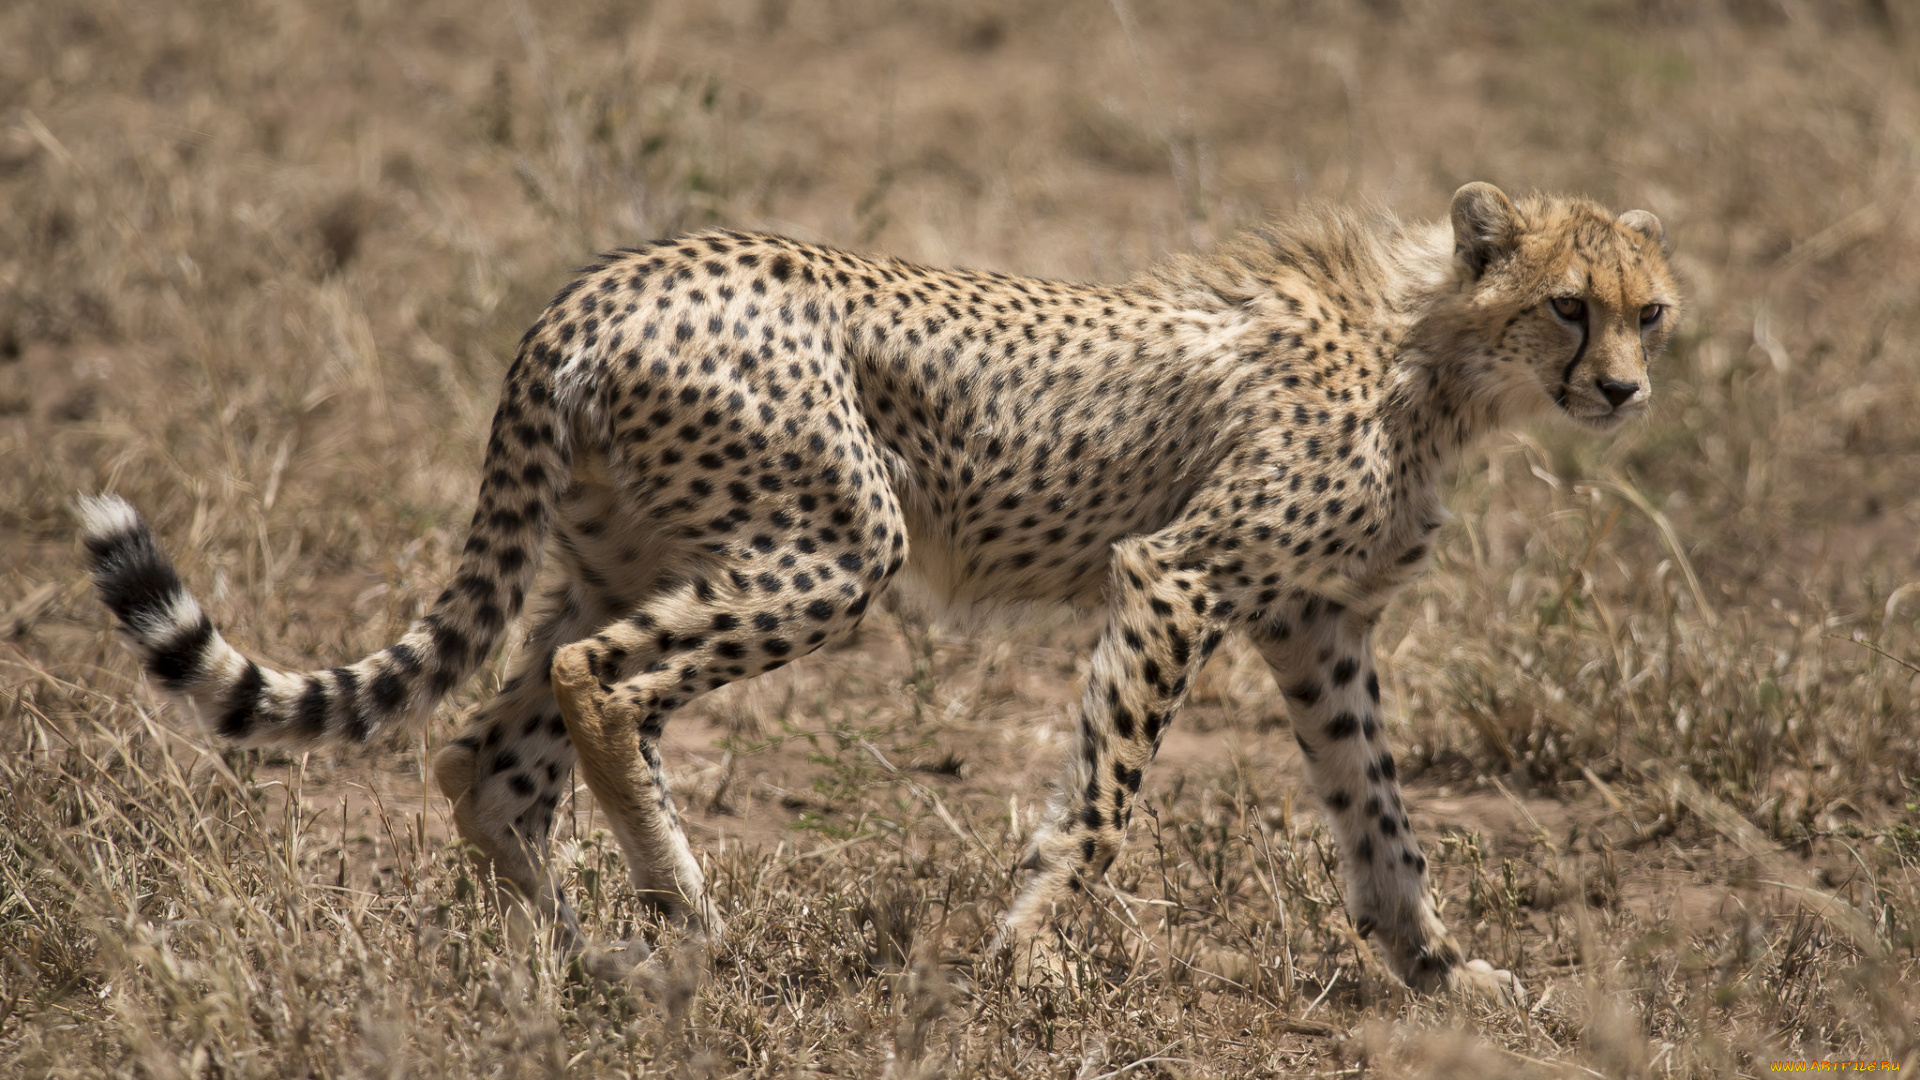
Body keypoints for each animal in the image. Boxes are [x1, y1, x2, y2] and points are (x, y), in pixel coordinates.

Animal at [78, 180, 1666, 999]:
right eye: (1566, 306)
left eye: (1650, 310)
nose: (1628, 390)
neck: (1431, 352)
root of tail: (602, 284)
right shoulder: (1178, 577)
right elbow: (1103, 803)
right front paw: (1027, 957)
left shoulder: (1316, 626)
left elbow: (1382, 816)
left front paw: (1444, 970)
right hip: (838, 549)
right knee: (598, 686)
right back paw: (684, 913)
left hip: (622, 554)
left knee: (484, 742)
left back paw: (583, 954)